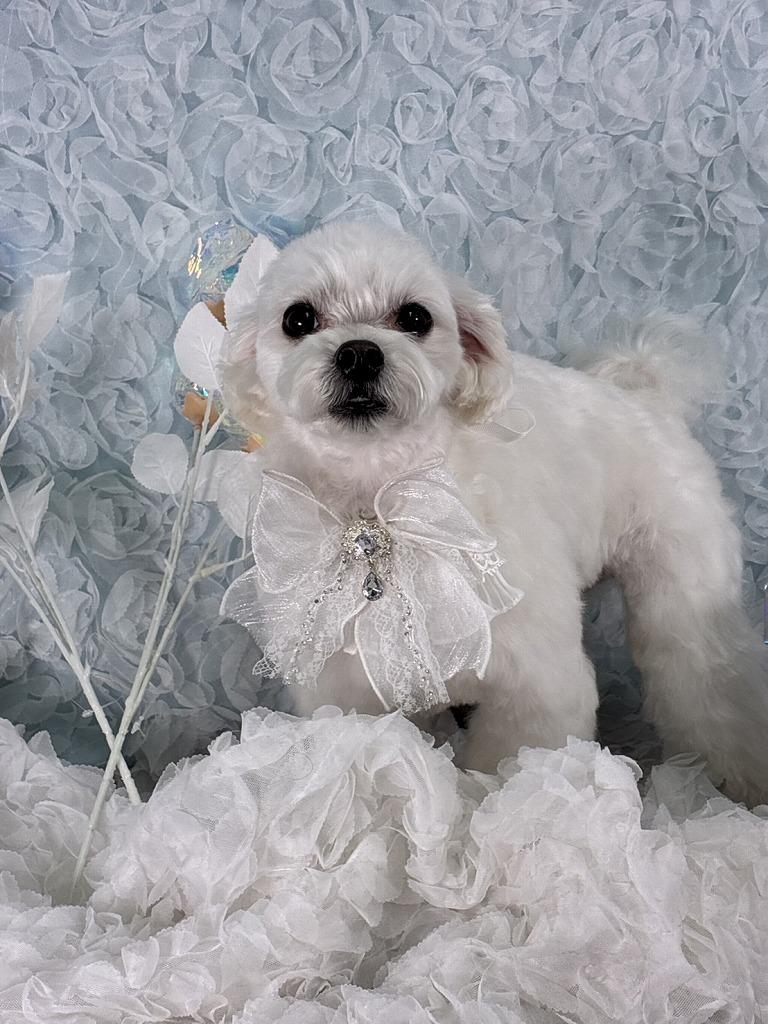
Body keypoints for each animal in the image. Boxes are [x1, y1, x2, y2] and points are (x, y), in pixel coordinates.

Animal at [220, 221, 768, 806]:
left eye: (415, 317)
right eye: (298, 319)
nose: (360, 353)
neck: (386, 497)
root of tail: (647, 398)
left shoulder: (535, 685)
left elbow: (510, 776)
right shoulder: (349, 692)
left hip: (685, 591)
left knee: (706, 678)